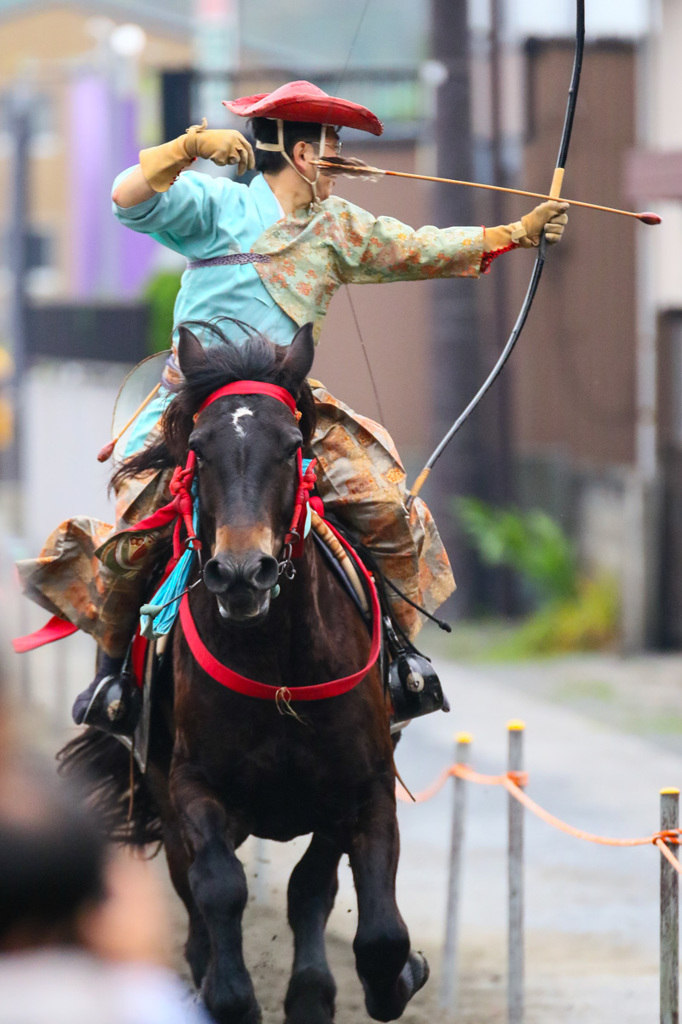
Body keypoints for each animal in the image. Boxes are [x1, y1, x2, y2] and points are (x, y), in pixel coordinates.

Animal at [61, 321, 428, 1024]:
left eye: (291, 447)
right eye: (199, 450)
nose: (240, 573)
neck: (279, 670)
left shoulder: (364, 782)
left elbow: (370, 925)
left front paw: (392, 978)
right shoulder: (191, 785)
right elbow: (218, 888)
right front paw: (229, 995)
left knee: (311, 889)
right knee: (196, 891)